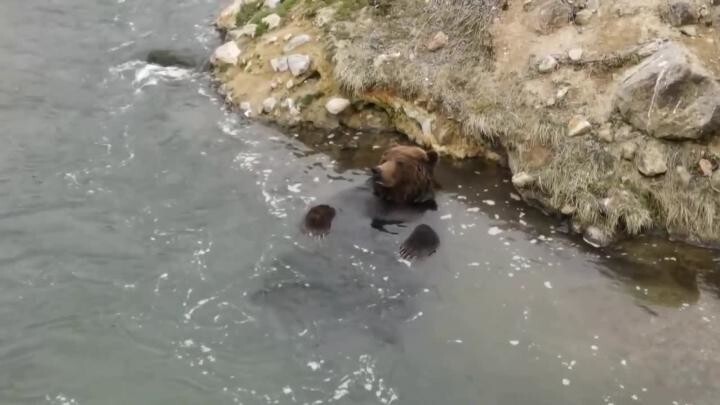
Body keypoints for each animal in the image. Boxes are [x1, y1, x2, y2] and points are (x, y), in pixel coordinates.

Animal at [302, 145, 438, 258]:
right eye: (385, 158)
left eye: (400, 162)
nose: (377, 170)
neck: (395, 197)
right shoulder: (358, 198)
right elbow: (330, 206)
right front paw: (316, 228)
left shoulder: (419, 208)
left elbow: (426, 227)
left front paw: (410, 250)